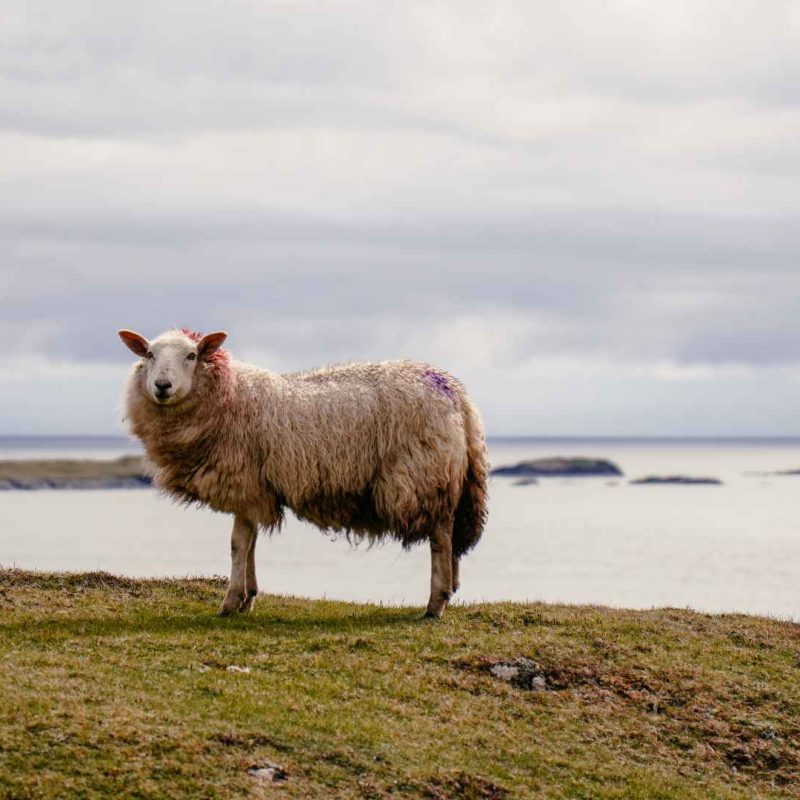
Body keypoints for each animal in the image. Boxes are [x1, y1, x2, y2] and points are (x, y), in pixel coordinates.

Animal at [118, 327, 489, 618]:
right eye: (149, 354)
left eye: (192, 355)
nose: (162, 385)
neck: (231, 396)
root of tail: (456, 393)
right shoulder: (257, 492)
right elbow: (250, 544)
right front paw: (249, 597)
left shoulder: (244, 484)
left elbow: (238, 544)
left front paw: (231, 602)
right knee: (452, 537)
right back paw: (450, 591)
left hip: (422, 475)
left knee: (440, 537)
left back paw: (435, 603)